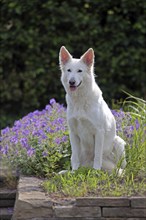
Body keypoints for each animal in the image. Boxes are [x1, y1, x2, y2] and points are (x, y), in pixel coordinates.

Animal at [58, 46, 126, 174]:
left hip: (118, 142)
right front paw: (74, 172)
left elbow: (97, 155)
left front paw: (95, 172)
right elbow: (75, 157)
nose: (71, 82)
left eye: (79, 71)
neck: (80, 100)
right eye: (69, 70)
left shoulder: (99, 132)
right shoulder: (73, 133)